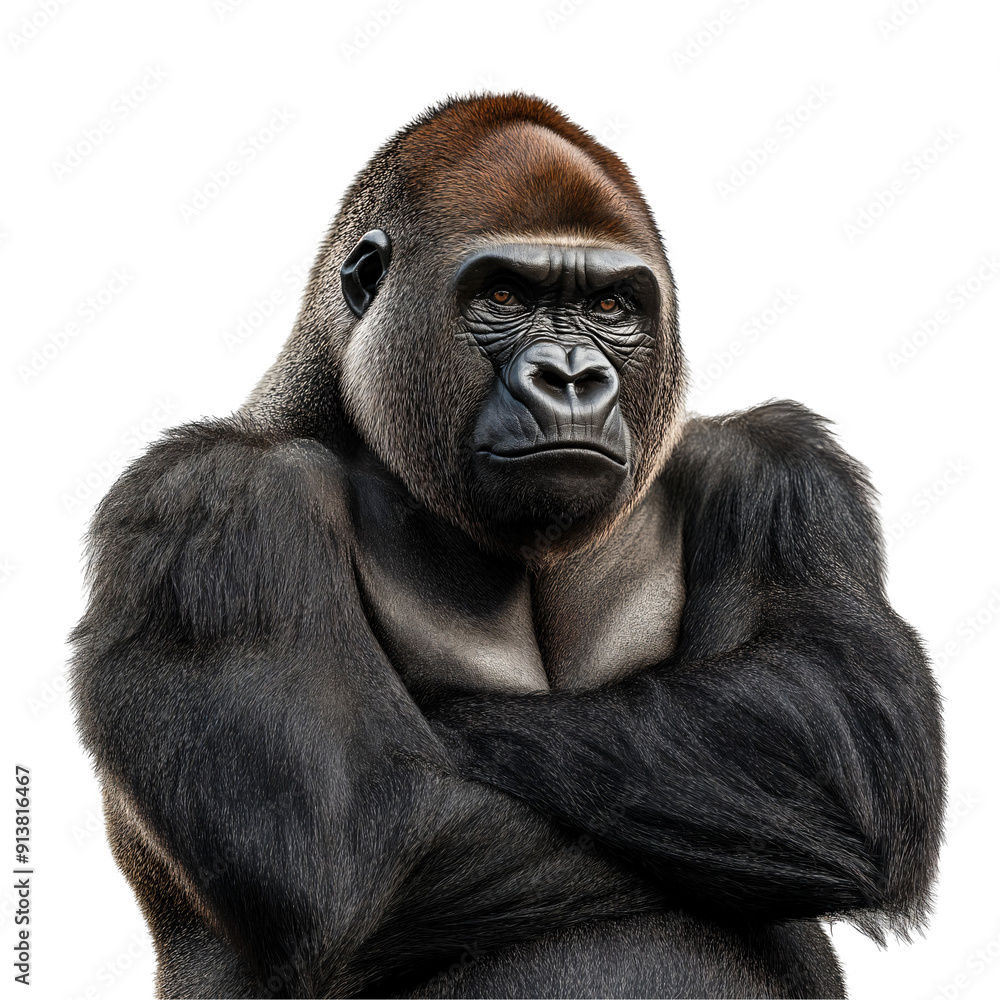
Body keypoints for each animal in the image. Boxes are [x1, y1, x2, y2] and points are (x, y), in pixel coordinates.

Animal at [71, 93, 944, 999]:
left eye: (610, 309)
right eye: (503, 294)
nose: (571, 377)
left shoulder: (786, 476)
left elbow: (828, 728)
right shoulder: (208, 504)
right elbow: (353, 839)